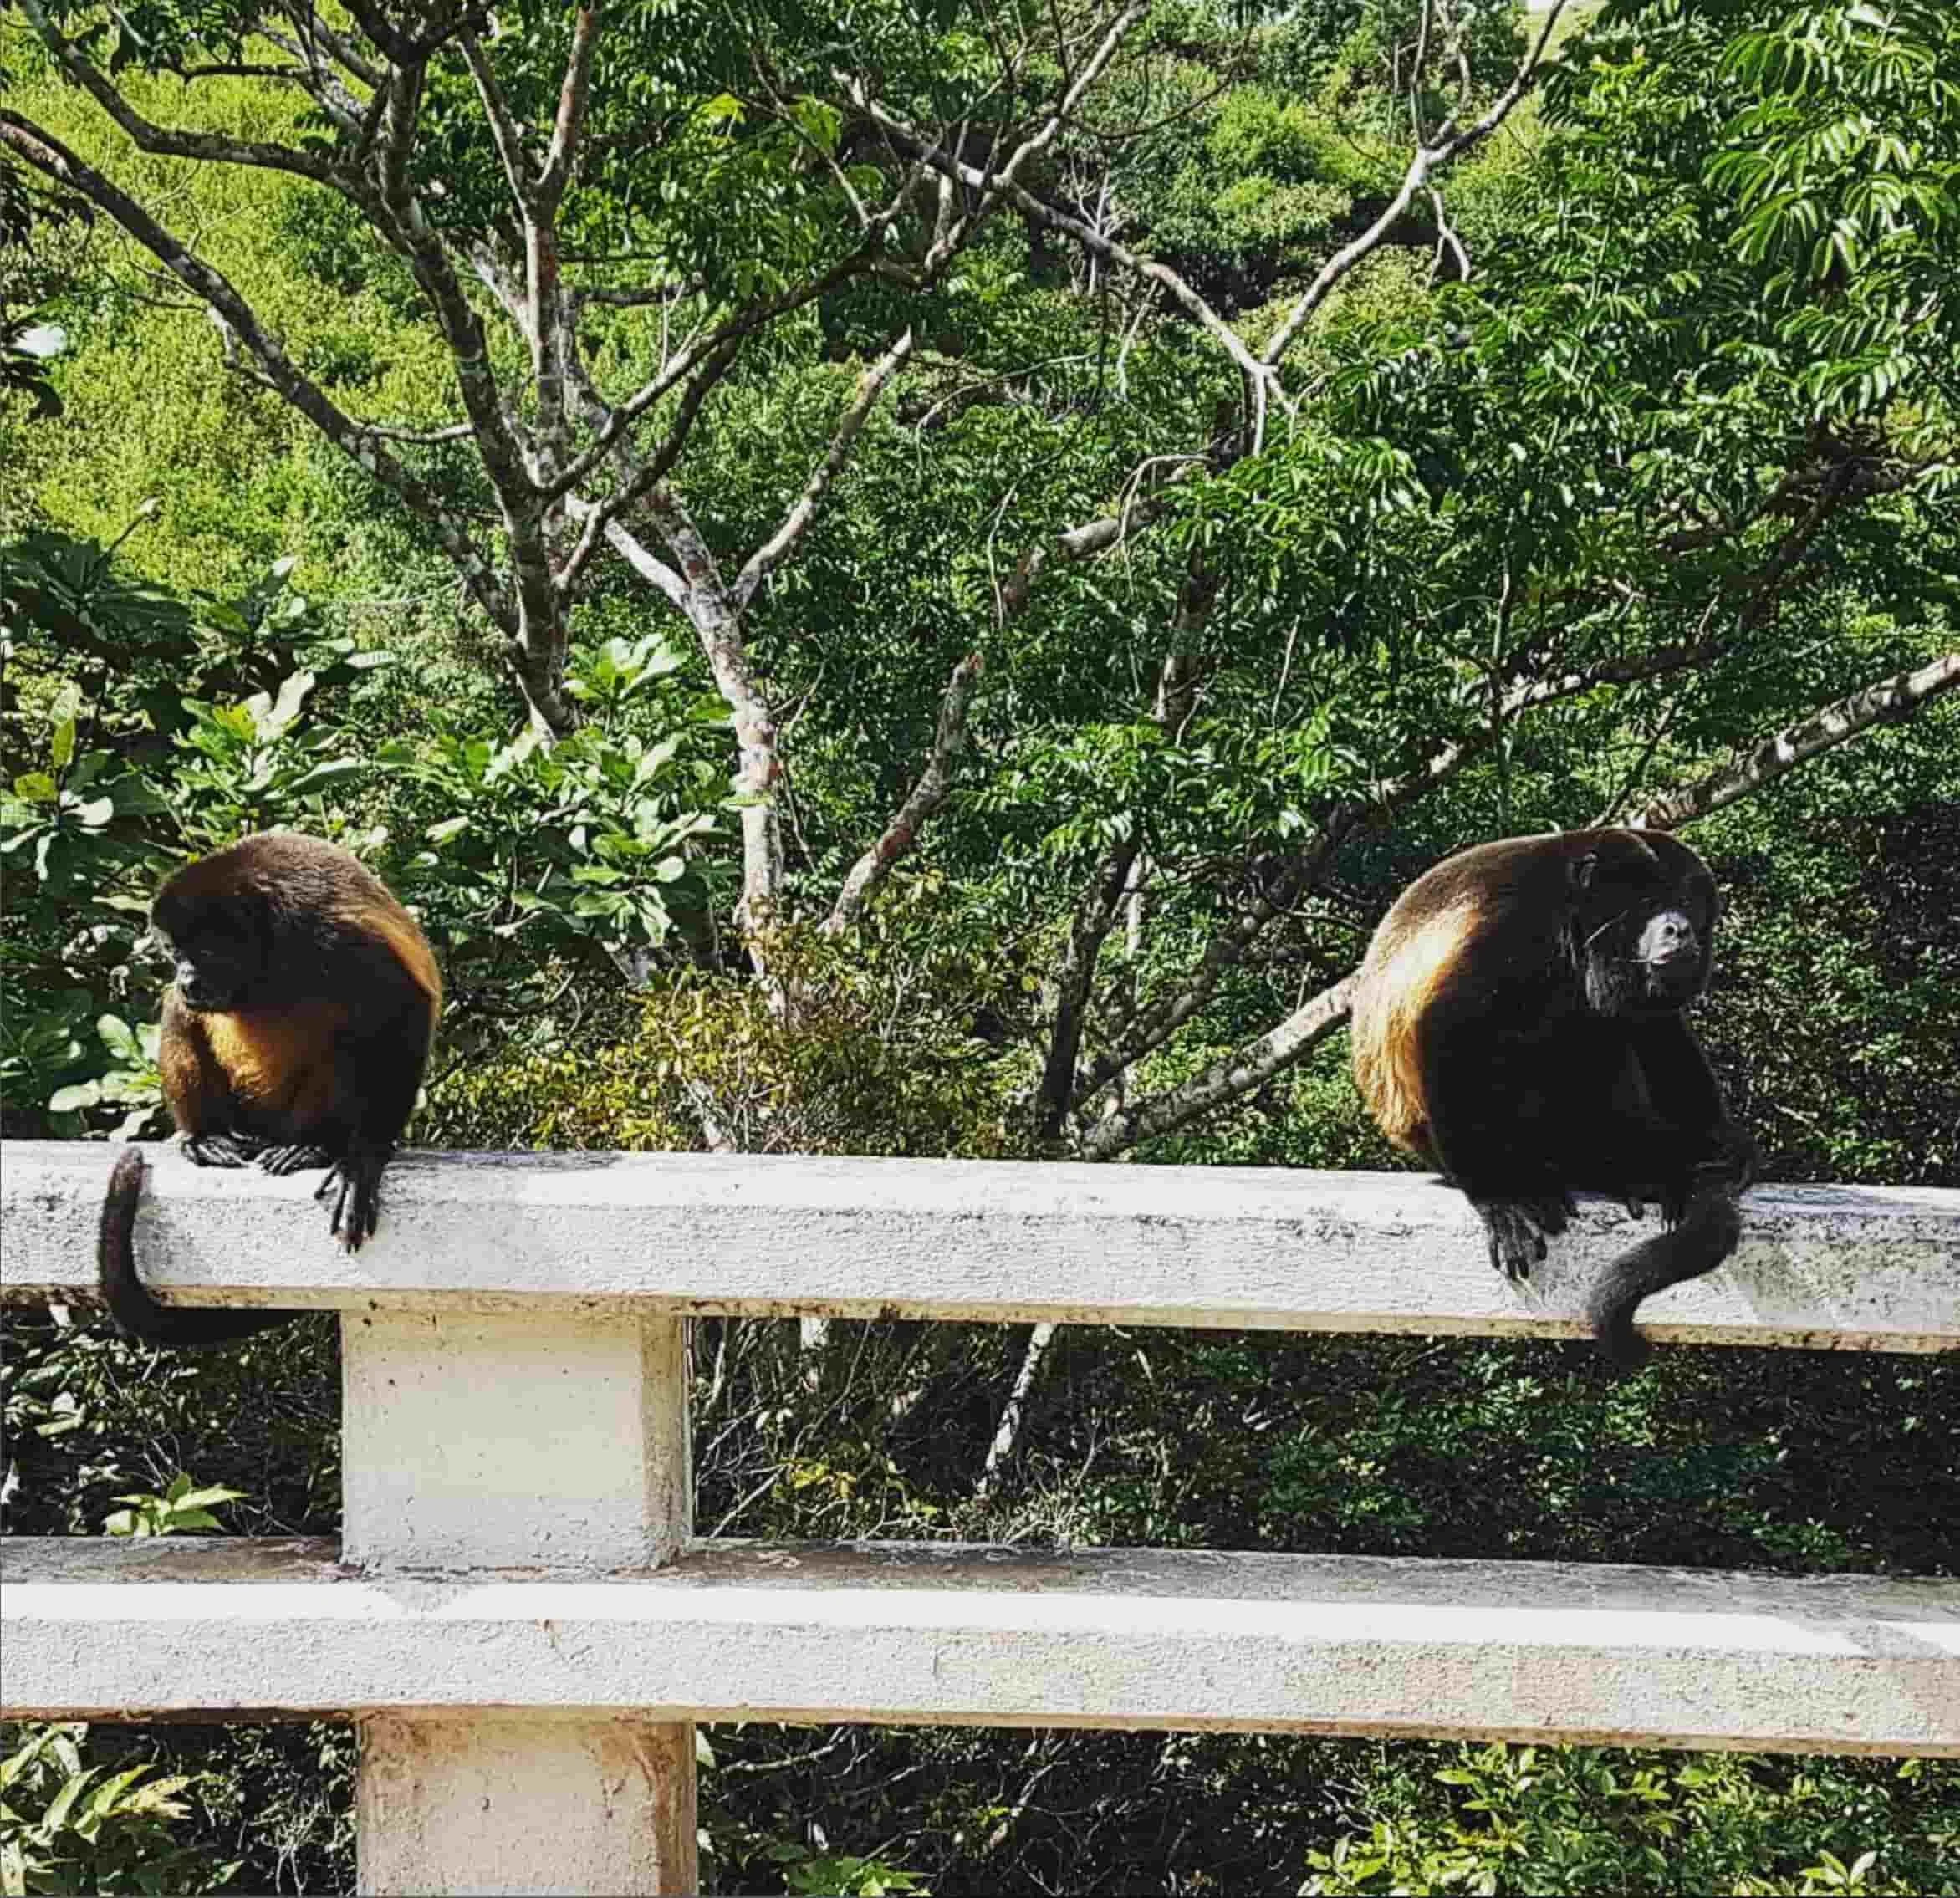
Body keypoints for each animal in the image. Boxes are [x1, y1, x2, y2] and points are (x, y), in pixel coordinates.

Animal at [98, 831, 441, 1351]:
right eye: (175, 952)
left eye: (207, 952)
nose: (186, 976)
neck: (268, 955)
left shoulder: (335, 938)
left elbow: (406, 1007)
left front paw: (364, 1159)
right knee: (179, 1011)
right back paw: (206, 1136)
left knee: (348, 1043)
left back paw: (311, 1145)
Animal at [1349, 827, 1760, 1369]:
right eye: (1649, 903)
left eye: (1686, 902)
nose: (1680, 929)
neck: (1574, 915)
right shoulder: (1515, 930)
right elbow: (1449, 1027)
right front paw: (1499, 1197)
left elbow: (1656, 1020)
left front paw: (1723, 1140)